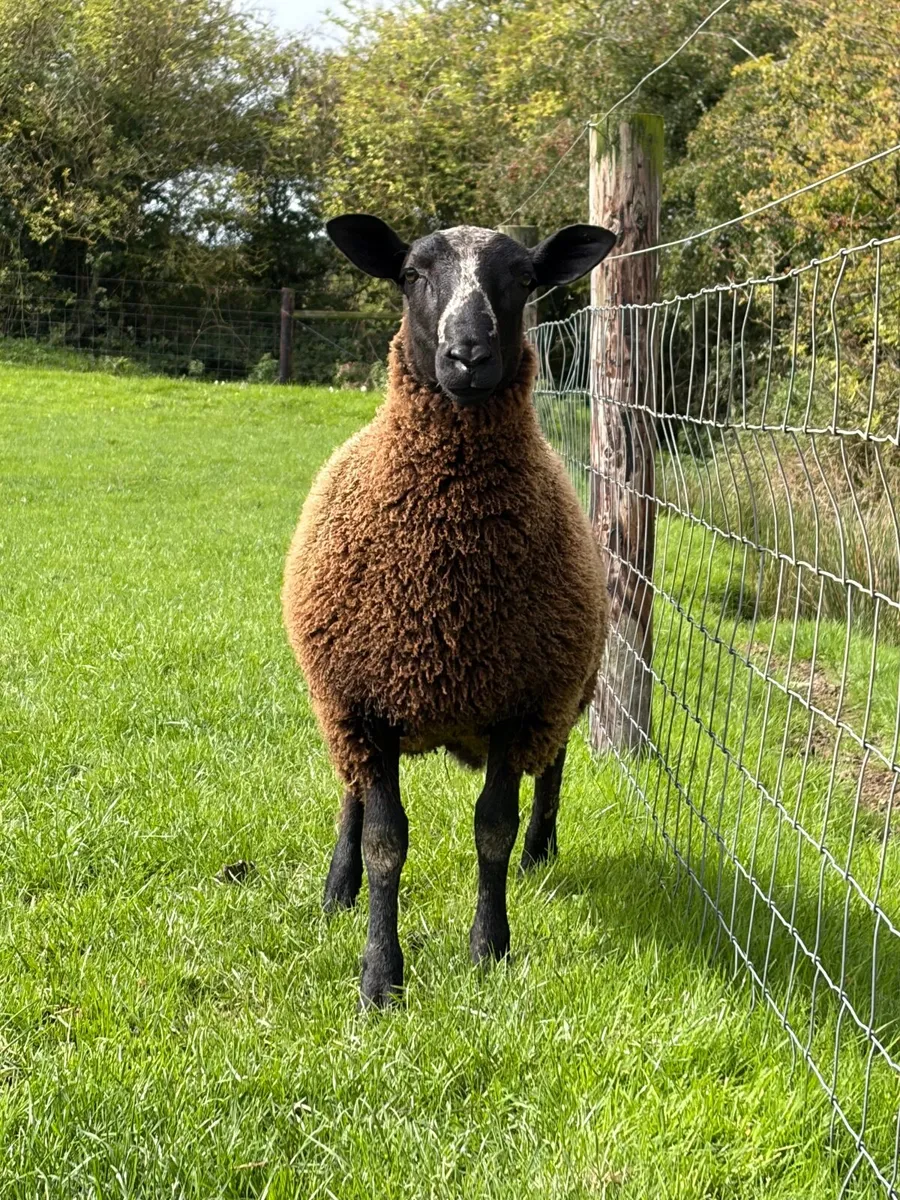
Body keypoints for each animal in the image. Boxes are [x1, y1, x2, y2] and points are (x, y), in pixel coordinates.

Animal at [282, 215, 616, 1007]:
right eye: (411, 275)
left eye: (524, 278)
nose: (468, 356)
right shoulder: (363, 701)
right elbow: (385, 841)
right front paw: (380, 975)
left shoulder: (519, 705)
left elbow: (493, 827)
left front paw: (489, 947)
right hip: (343, 708)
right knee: (351, 794)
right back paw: (336, 888)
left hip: (570, 686)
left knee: (552, 771)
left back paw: (541, 854)